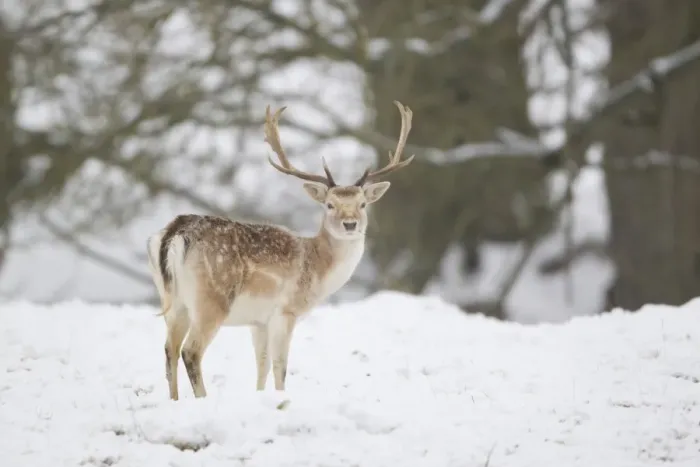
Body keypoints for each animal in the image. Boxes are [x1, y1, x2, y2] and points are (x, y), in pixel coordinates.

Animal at [145, 101, 415, 400]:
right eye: (329, 205)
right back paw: (203, 398)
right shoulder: (285, 311)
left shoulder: (258, 321)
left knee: (169, 350)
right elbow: (280, 366)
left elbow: (261, 365)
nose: (350, 223)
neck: (318, 269)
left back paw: (175, 401)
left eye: (363, 204)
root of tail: (173, 234)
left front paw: (260, 396)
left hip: (172, 300)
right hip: (211, 299)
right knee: (191, 351)